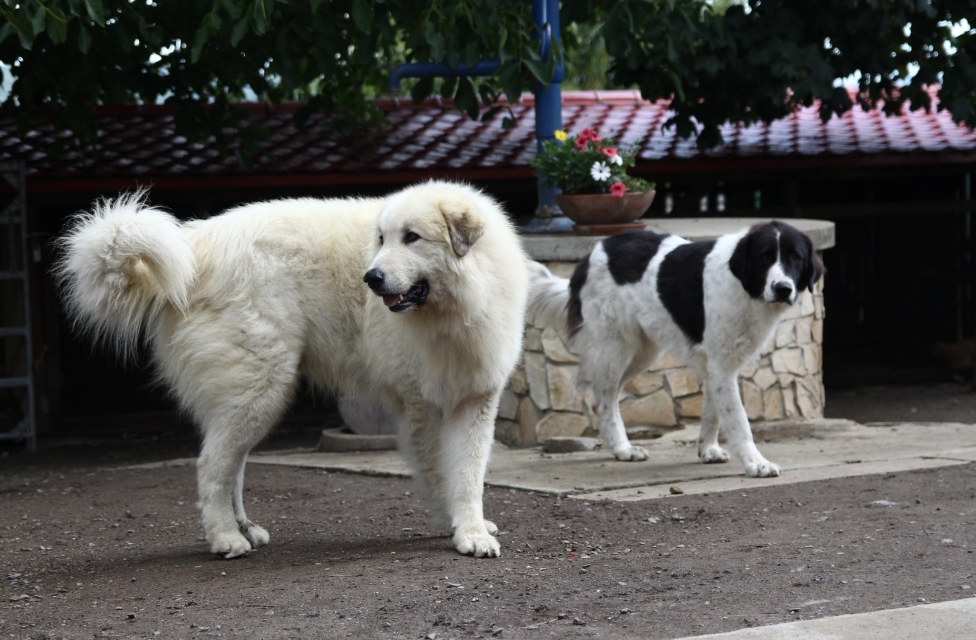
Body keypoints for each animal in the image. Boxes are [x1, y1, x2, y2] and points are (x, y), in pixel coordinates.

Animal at [57, 181, 530, 558]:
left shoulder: (475, 401)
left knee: (232, 465)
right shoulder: (421, 407)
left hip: (252, 396)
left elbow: (470, 474)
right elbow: (443, 474)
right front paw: (459, 527)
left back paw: (246, 528)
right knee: (212, 465)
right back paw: (226, 538)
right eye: (381, 239)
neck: (461, 304)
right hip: (260, 385)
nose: (371, 278)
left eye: (411, 238)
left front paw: (472, 529)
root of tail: (195, 245)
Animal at [528, 221, 824, 477]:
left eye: (795, 258)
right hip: (615, 347)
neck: (744, 288)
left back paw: (621, 448)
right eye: (765, 257)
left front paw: (708, 449)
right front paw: (756, 464)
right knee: (602, 400)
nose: (783, 288)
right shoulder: (722, 366)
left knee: (607, 398)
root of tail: (593, 252)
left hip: (641, 353)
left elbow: (714, 411)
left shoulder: (717, 366)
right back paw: (623, 450)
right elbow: (738, 419)